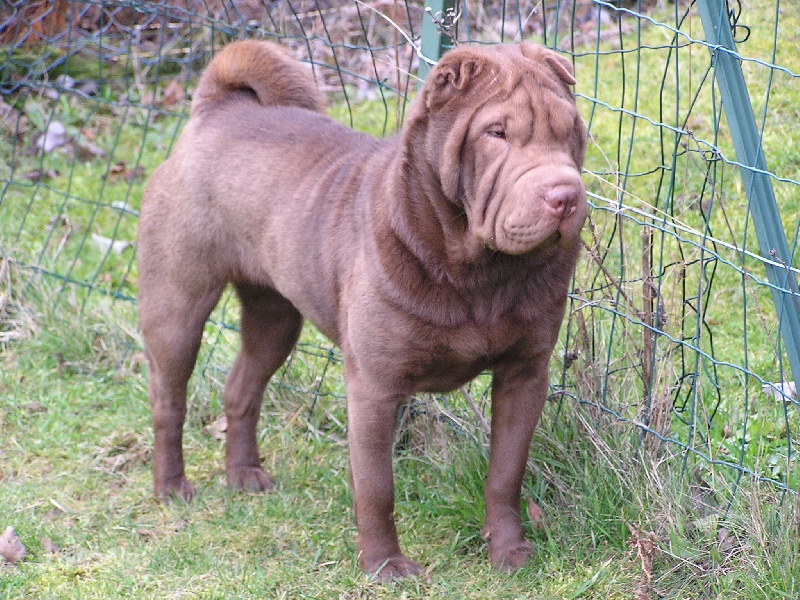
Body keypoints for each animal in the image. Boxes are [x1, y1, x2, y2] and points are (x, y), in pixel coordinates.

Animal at [138, 39, 588, 580]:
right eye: (496, 133)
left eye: (570, 131)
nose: (565, 195)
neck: (478, 273)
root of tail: (217, 111)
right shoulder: (374, 385)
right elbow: (377, 487)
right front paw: (385, 565)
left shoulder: (525, 374)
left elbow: (506, 473)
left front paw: (508, 552)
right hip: (177, 303)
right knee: (169, 396)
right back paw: (170, 487)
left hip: (275, 316)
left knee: (242, 387)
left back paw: (244, 474)